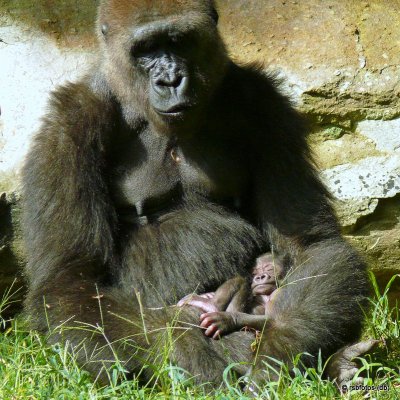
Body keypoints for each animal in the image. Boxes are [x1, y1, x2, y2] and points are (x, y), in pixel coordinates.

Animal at [21, 0, 368, 388]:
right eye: (145, 50)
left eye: (179, 41)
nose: (170, 80)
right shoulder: (68, 125)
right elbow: (72, 279)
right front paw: (187, 345)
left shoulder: (266, 106)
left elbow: (311, 245)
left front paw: (278, 348)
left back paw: (338, 362)